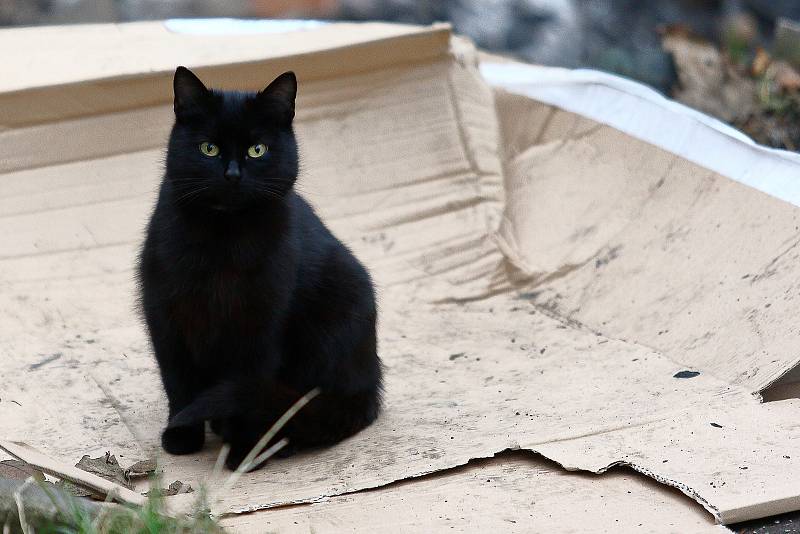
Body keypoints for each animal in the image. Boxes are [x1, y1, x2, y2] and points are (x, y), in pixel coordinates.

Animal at [138, 67, 384, 474]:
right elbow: (178, 383)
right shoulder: (167, 318)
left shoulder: (260, 325)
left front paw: (243, 451)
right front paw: (181, 435)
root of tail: (370, 385)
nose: (233, 174)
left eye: (258, 150)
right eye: (208, 148)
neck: (223, 240)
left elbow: (249, 388)